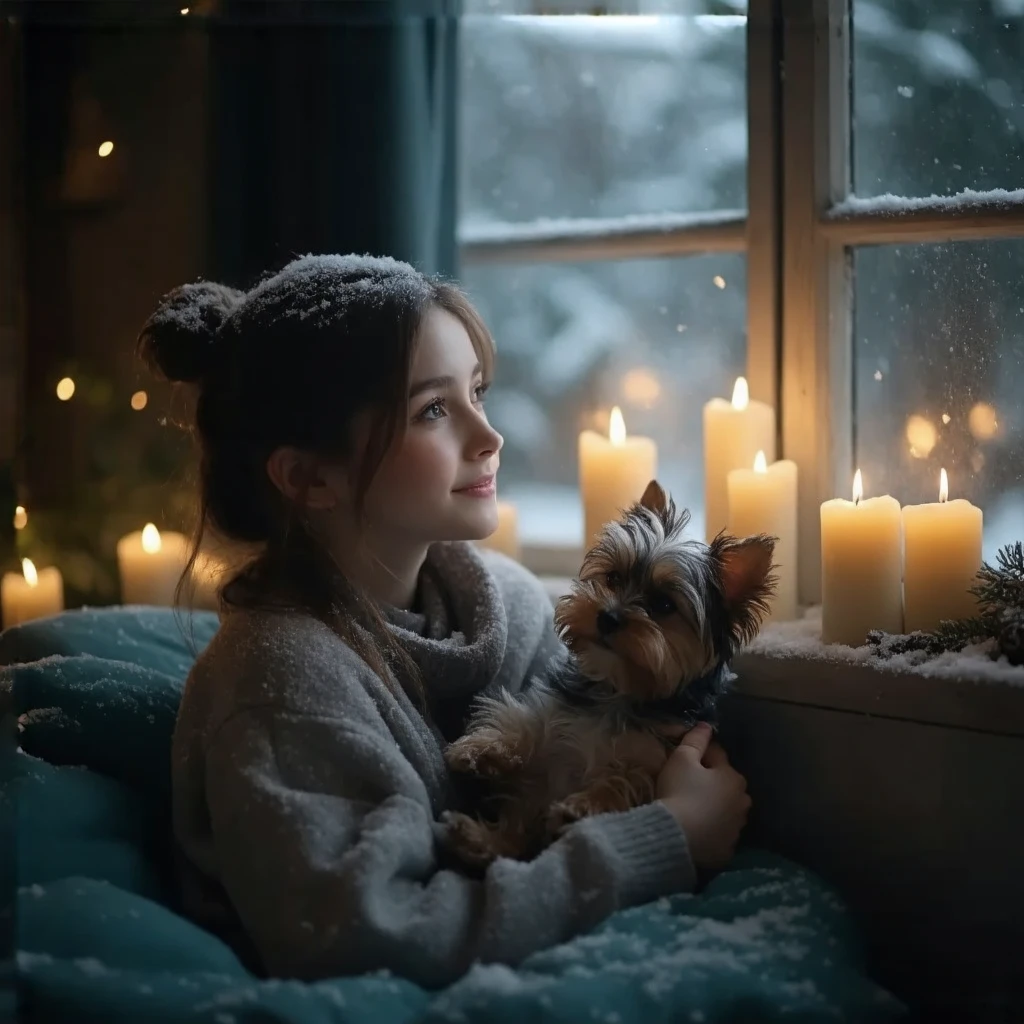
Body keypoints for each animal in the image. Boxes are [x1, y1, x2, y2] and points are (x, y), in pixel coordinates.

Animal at [440, 483, 774, 868]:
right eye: (613, 578)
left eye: (664, 605)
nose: (608, 616)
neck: (619, 690)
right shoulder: (553, 726)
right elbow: (527, 723)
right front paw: (484, 749)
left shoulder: (654, 759)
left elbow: (626, 779)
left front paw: (581, 807)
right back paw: (473, 837)